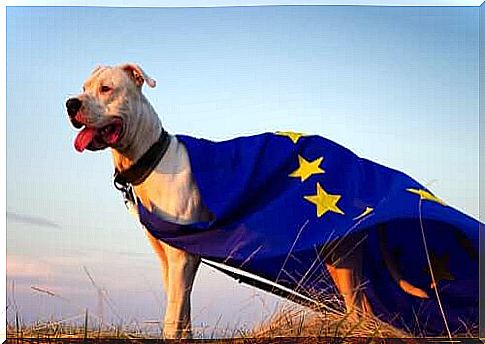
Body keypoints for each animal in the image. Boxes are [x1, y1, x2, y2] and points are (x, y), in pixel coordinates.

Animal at [66, 62, 426, 338]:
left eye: (106, 89)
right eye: (83, 87)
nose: (70, 103)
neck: (153, 156)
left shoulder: (183, 256)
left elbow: (173, 315)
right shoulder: (169, 259)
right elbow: (181, 312)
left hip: (343, 258)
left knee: (358, 311)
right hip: (341, 258)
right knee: (363, 310)